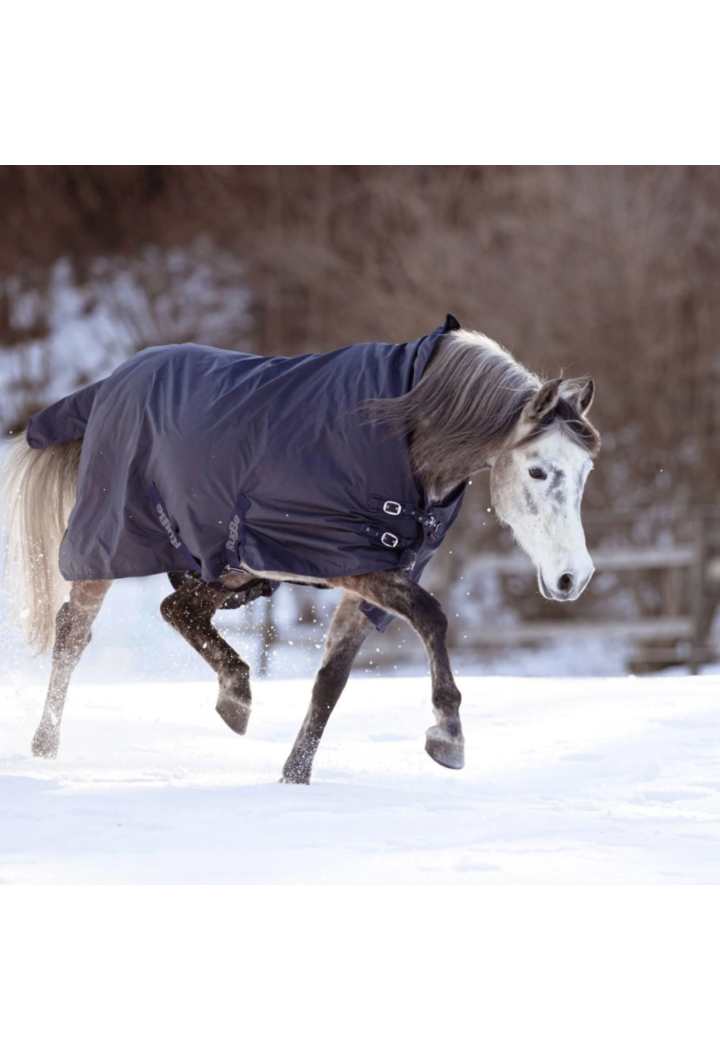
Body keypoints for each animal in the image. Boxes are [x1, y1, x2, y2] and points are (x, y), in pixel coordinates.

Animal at [1, 317, 600, 784]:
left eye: (586, 473)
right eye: (538, 470)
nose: (573, 578)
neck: (404, 436)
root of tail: (108, 384)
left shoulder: (370, 580)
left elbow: (332, 679)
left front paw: (295, 777)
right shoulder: (347, 561)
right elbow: (431, 615)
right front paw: (448, 735)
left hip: (232, 565)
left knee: (177, 610)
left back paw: (236, 696)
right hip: (108, 546)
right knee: (73, 635)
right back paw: (45, 749)